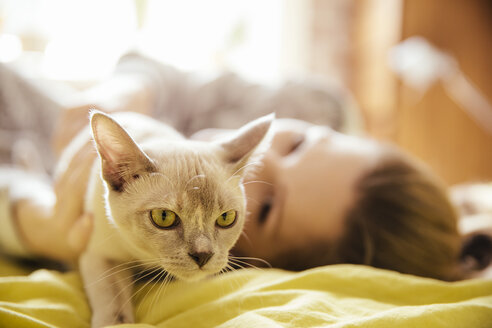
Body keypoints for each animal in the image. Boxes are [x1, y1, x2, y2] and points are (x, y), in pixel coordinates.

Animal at [75, 110, 272, 326]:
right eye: (163, 217)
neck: (148, 260)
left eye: (226, 218)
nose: (203, 255)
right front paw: (117, 323)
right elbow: (113, 300)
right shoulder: (101, 254)